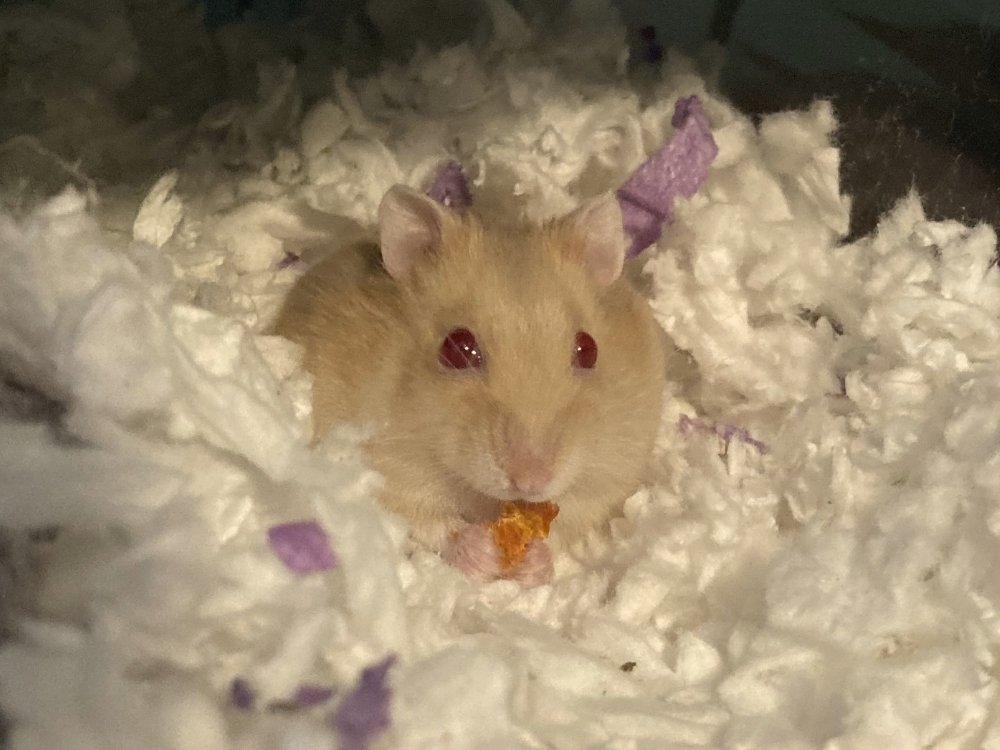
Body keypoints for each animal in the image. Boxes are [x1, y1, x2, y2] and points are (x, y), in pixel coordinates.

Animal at [273, 185, 665, 584]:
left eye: (589, 349)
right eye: (457, 348)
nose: (531, 481)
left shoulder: (611, 476)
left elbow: (567, 521)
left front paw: (533, 565)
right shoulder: (378, 468)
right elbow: (427, 520)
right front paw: (484, 553)